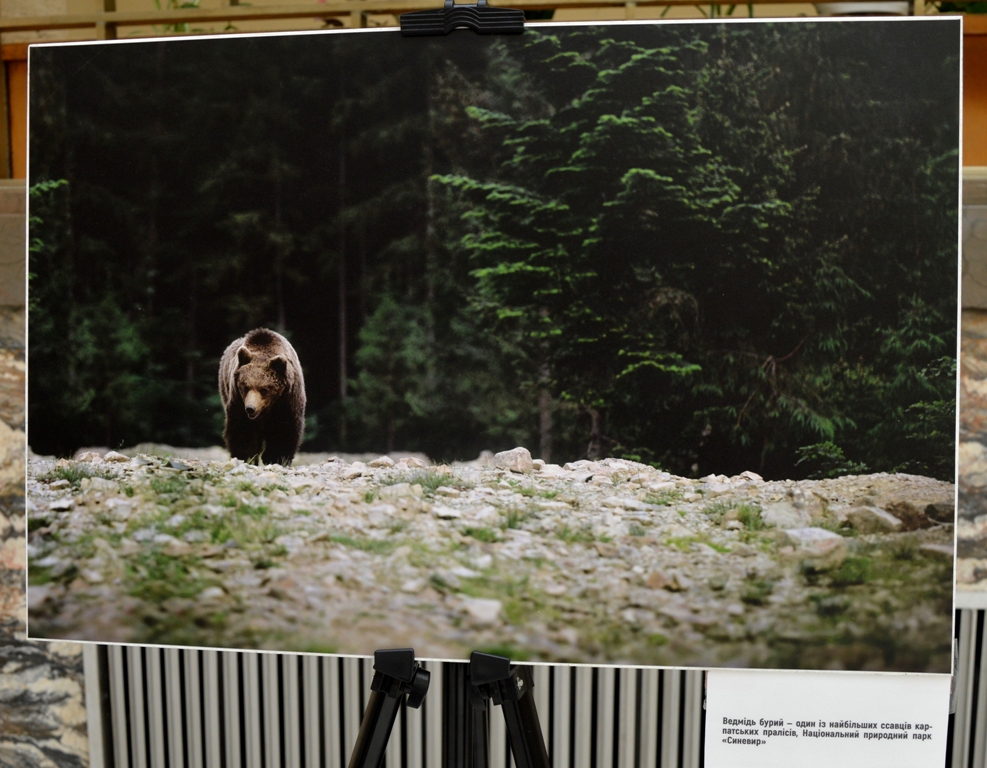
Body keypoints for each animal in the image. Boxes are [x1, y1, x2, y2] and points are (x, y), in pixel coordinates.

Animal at [218, 328, 306, 464]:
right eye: (245, 386)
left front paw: (277, 458)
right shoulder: (238, 400)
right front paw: (247, 457)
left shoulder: (287, 400)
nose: (250, 408)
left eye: (264, 389)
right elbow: (243, 430)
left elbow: (284, 430)